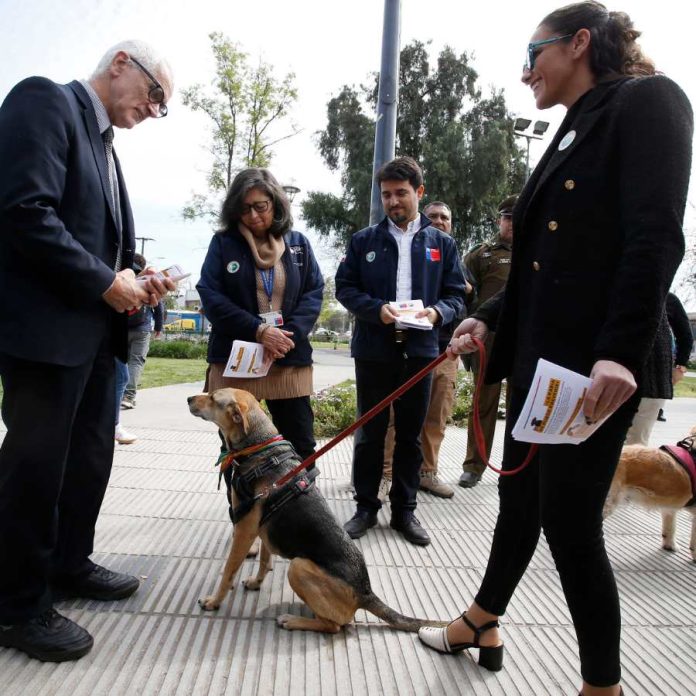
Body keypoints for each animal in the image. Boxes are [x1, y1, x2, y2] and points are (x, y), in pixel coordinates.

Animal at [188, 388, 444, 632]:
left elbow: (228, 571)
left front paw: (214, 602)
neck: (258, 448)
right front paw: (256, 583)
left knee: (335, 626)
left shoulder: (244, 530)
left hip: (298, 567)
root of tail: (366, 593)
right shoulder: (263, 529)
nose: (189, 398)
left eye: (213, 397)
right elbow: (264, 561)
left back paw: (292, 620)